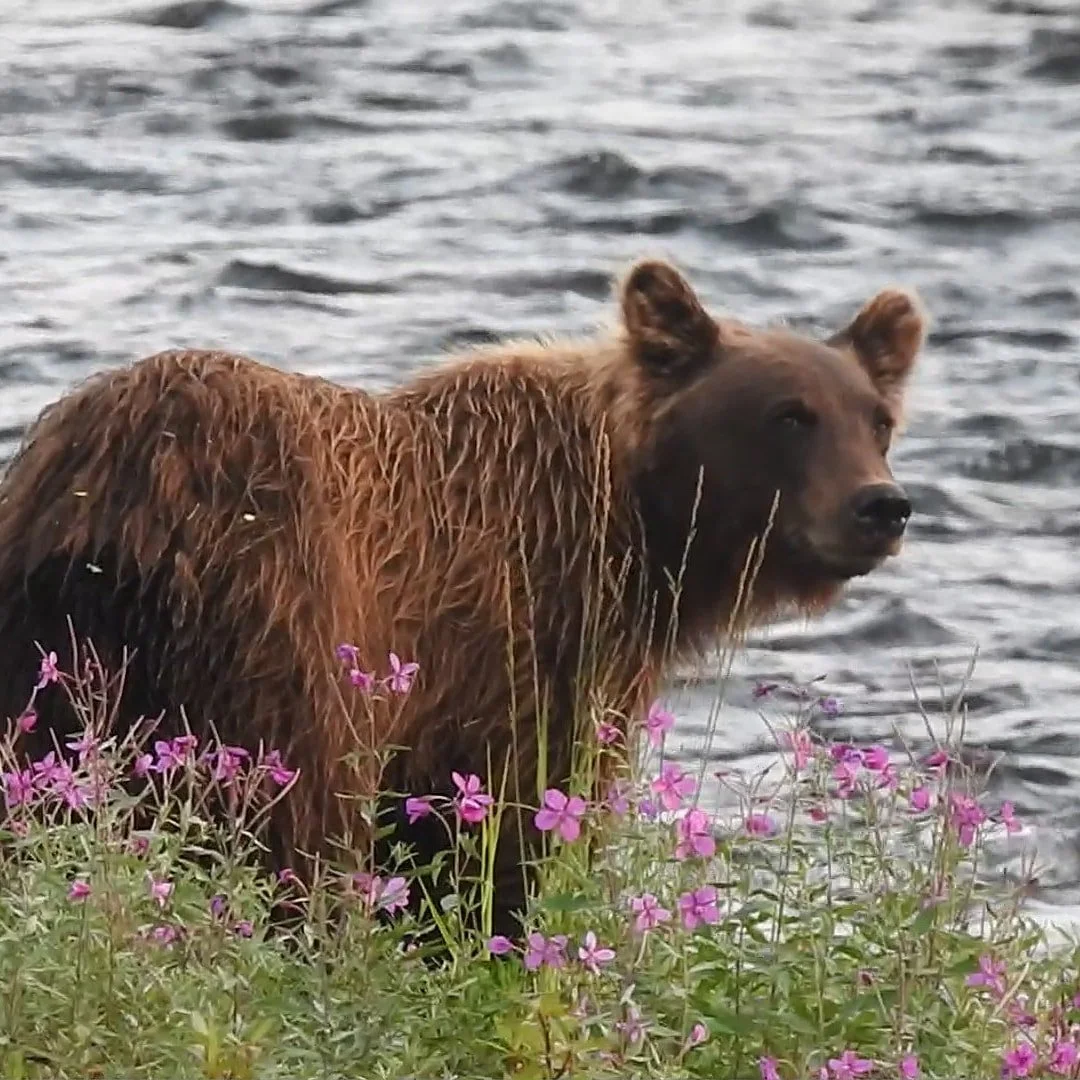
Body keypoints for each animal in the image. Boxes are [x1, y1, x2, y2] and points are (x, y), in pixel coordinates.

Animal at [0, 258, 926, 939]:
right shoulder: (518, 645)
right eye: (789, 415)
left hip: (51, 647)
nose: (881, 505)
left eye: (875, 418)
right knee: (291, 825)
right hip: (278, 628)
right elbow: (514, 829)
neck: (632, 523)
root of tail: (118, 486)